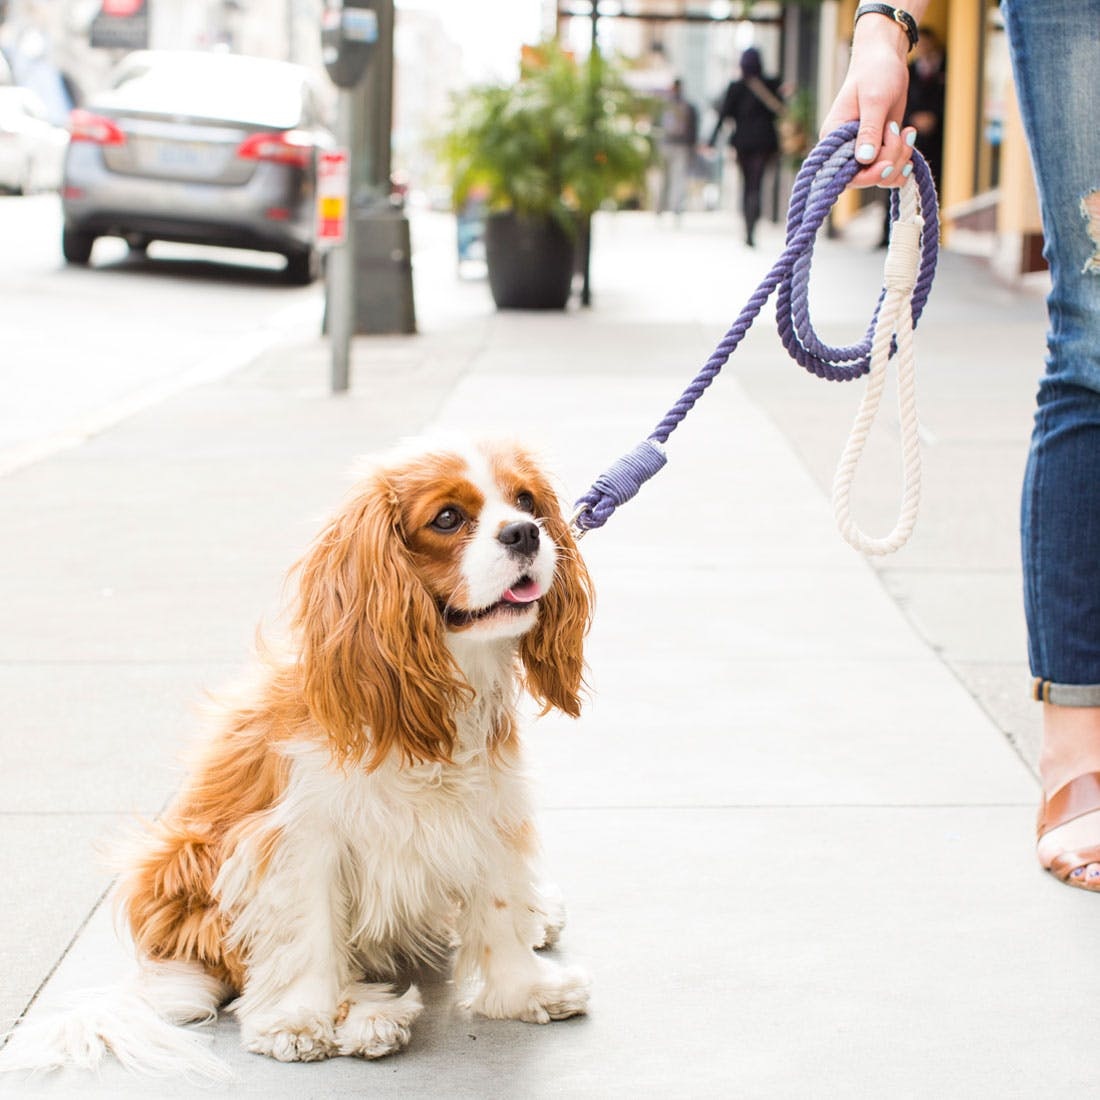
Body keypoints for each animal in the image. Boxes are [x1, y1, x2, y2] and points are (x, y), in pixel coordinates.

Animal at [0, 435, 598, 1073]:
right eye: (447, 519)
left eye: (525, 500)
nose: (525, 533)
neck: (440, 682)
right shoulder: (298, 838)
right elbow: (308, 931)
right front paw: (299, 1020)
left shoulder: (488, 805)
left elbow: (501, 904)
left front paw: (524, 990)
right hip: (187, 859)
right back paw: (367, 1016)